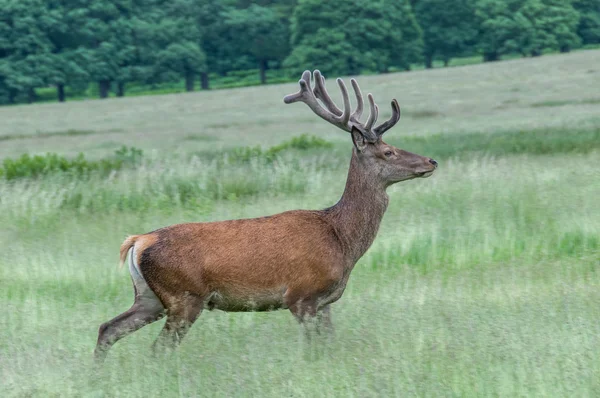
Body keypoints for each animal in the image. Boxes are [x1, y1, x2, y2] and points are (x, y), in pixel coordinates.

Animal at [95, 70, 440, 362]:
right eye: (388, 152)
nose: (431, 161)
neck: (341, 238)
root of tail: (138, 241)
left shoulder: (325, 302)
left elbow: (330, 344)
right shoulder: (302, 295)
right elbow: (315, 349)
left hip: (149, 298)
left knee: (107, 328)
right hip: (184, 297)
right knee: (157, 349)